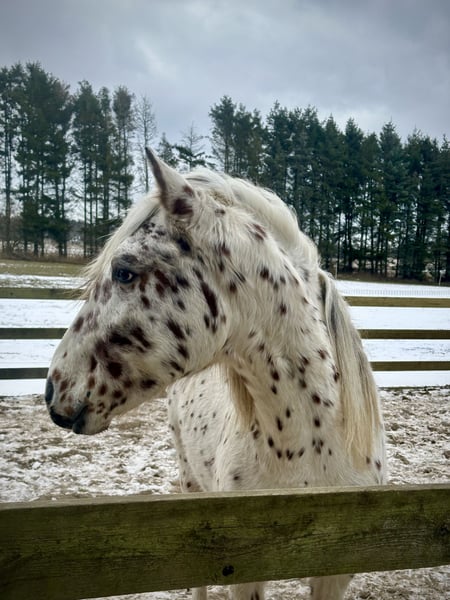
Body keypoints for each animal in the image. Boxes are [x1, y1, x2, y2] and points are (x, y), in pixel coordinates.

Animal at [45, 149, 386, 600]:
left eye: (124, 271)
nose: (53, 390)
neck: (307, 444)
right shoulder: (244, 571)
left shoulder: (334, 573)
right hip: (190, 480)